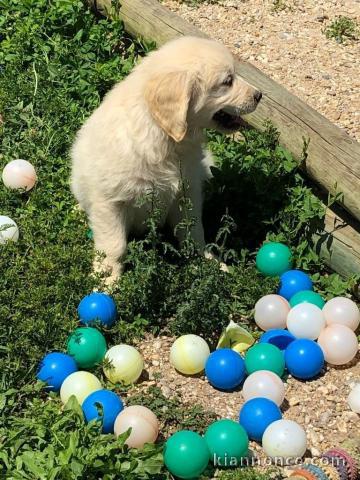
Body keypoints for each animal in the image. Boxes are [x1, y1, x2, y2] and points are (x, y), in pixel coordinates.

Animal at [70, 36, 262, 282]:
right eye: (228, 81)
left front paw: (207, 261)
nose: (259, 95)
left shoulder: (187, 192)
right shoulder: (109, 202)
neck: (162, 136)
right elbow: (114, 245)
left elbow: (193, 232)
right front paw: (107, 279)